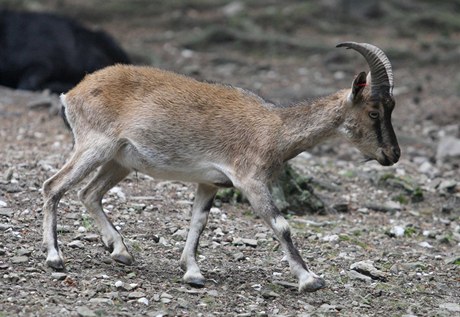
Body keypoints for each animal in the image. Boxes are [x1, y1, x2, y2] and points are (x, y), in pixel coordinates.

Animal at [42, 41, 398, 292]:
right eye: (374, 112)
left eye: (391, 107)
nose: (392, 155)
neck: (276, 128)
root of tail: (71, 94)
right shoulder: (250, 181)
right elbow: (281, 225)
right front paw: (310, 279)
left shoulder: (210, 182)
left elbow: (198, 223)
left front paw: (192, 273)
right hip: (93, 146)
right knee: (53, 186)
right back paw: (55, 258)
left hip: (119, 161)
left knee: (89, 193)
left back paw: (120, 251)